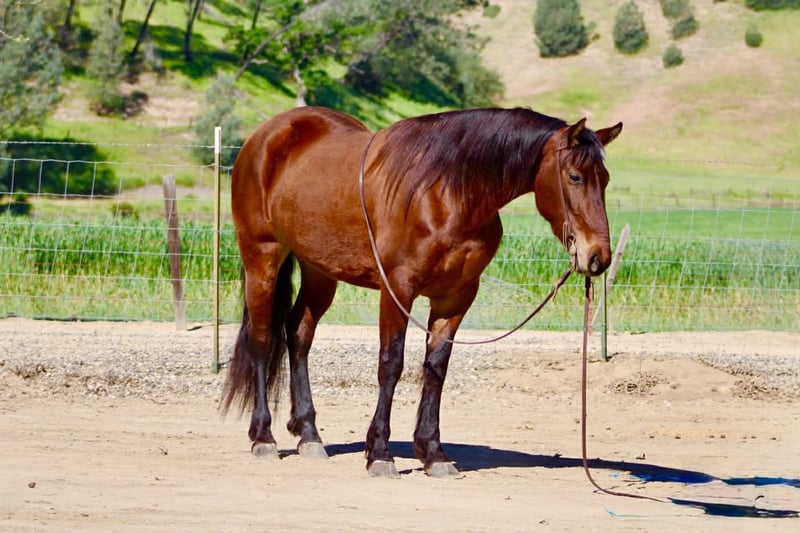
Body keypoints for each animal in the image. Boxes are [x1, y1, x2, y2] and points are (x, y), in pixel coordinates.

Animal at [222, 106, 622, 478]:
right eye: (574, 176)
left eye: (605, 179)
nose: (597, 256)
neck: (446, 193)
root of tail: (266, 136)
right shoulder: (397, 289)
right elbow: (391, 364)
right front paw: (379, 453)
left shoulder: (456, 297)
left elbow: (435, 369)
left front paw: (433, 452)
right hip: (262, 258)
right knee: (262, 340)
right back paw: (263, 437)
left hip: (320, 271)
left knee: (298, 335)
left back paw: (308, 435)